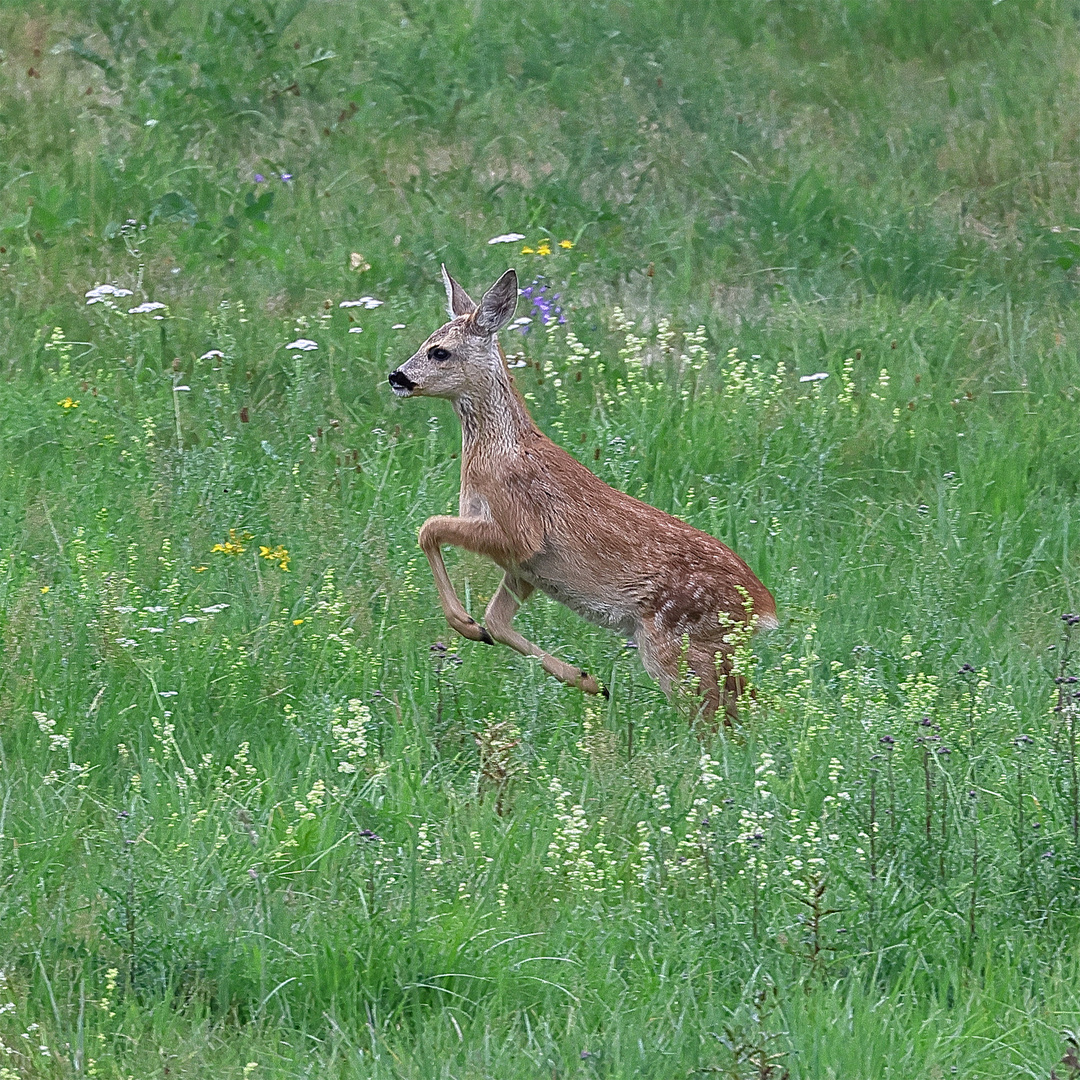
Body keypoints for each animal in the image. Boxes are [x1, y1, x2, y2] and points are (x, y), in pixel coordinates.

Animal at [388, 268, 777, 721]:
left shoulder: (521, 531)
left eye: (440, 352)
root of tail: (762, 608)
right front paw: (589, 681)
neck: (496, 452)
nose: (397, 376)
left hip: (675, 638)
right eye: (425, 343)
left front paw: (466, 624)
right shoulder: (526, 568)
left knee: (717, 714)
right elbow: (497, 621)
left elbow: (428, 528)